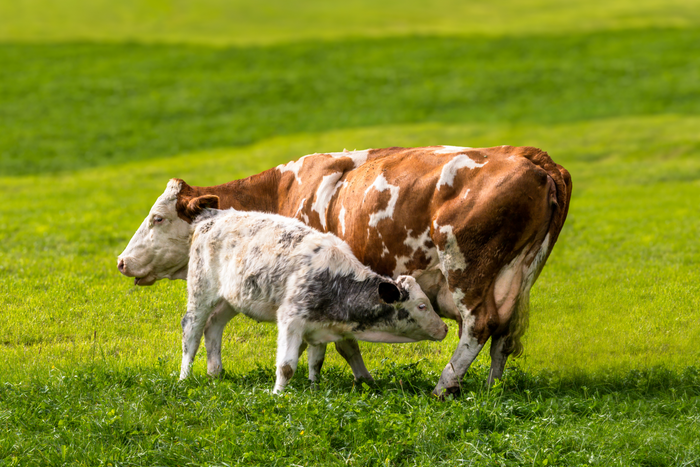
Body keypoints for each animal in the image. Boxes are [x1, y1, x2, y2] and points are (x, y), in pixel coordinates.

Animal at [117, 179, 449, 392]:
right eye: (421, 305)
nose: (445, 328)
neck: (336, 279)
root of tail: (212, 216)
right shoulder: (290, 319)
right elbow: (287, 364)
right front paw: (278, 395)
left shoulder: (319, 327)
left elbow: (317, 359)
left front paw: (315, 386)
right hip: (201, 292)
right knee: (192, 330)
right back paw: (185, 377)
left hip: (230, 299)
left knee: (214, 326)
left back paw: (216, 373)